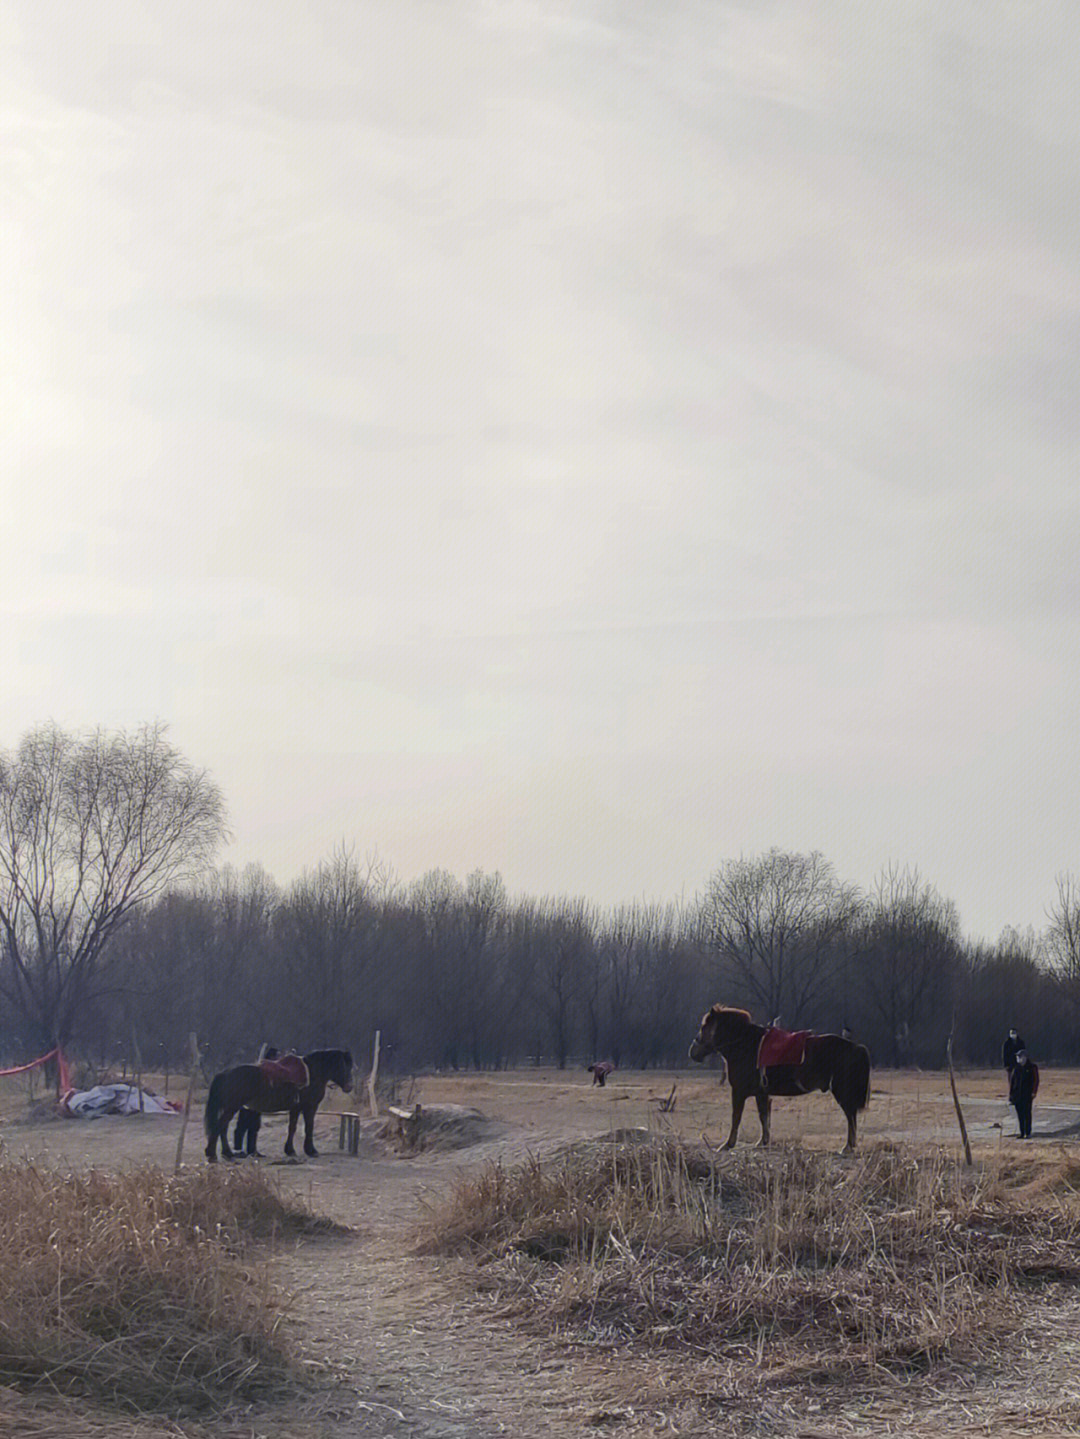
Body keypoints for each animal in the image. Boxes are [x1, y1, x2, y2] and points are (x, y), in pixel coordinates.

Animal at [204, 1053, 355, 1162]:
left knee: (223, 1128)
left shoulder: (295, 1108)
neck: (312, 1073)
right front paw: (311, 1150)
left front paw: (290, 1150)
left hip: (229, 1107)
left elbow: (292, 1128)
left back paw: (227, 1153)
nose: (349, 1086)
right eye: (344, 1066)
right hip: (231, 1107)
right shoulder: (310, 1107)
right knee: (220, 1126)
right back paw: (213, 1154)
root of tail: (225, 1073)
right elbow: (309, 1128)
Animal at [693, 1007, 868, 1151]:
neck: (746, 1045)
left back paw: (848, 1146)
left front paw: (728, 1144)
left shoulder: (739, 1092)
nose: (692, 1051)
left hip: (842, 1092)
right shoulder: (761, 1093)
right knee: (851, 1116)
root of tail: (855, 1046)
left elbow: (736, 1117)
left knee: (850, 1116)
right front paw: (763, 1141)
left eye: (704, 1027)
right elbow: (764, 1117)